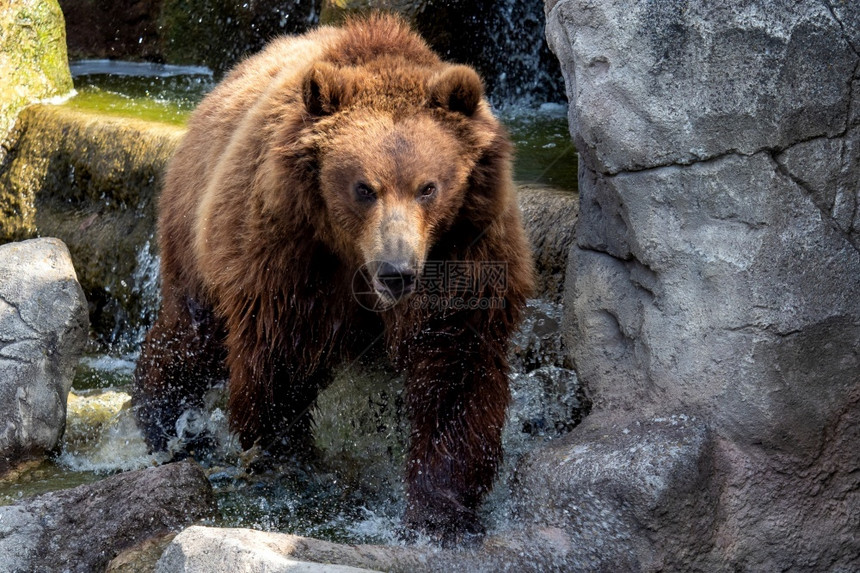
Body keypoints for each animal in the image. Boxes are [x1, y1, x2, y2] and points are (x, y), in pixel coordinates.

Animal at [131, 12, 536, 540]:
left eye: (428, 187)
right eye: (364, 187)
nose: (397, 272)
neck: (353, 256)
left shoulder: (464, 252)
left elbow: (455, 373)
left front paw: (440, 509)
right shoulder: (290, 255)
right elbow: (278, 361)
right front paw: (289, 457)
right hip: (196, 229)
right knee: (190, 336)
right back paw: (167, 423)